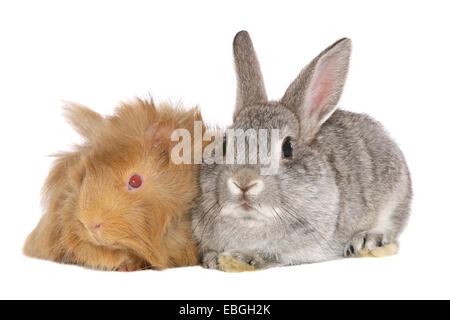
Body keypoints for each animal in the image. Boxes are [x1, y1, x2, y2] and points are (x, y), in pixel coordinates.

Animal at [191, 30, 412, 270]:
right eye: (224, 143)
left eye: (287, 148)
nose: (244, 182)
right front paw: (213, 258)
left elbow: (273, 254)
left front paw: (241, 257)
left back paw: (367, 240)